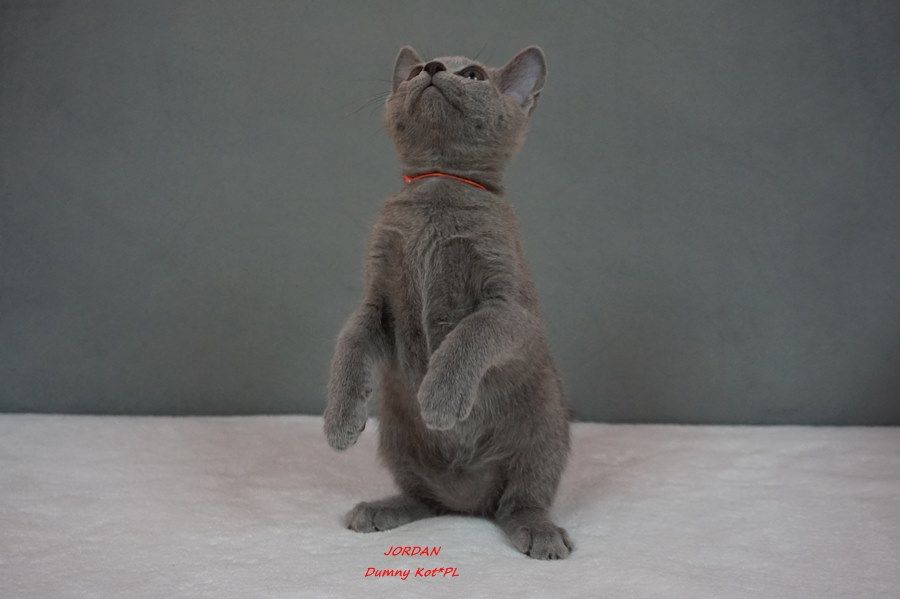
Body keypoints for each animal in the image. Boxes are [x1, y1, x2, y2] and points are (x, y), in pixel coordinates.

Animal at [323, 45, 572, 560]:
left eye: (473, 75)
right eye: (417, 70)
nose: (434, 69)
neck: (438, 188)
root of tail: (469, 500)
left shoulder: (509, 305)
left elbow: (469, 334)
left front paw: (439, 397)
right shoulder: (376, 298)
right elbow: (349, 341)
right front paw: (340, 419)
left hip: (544, 433)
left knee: (522, 499)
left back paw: (539, 533)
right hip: (397, 437)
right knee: (426, 497)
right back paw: (382, 509)